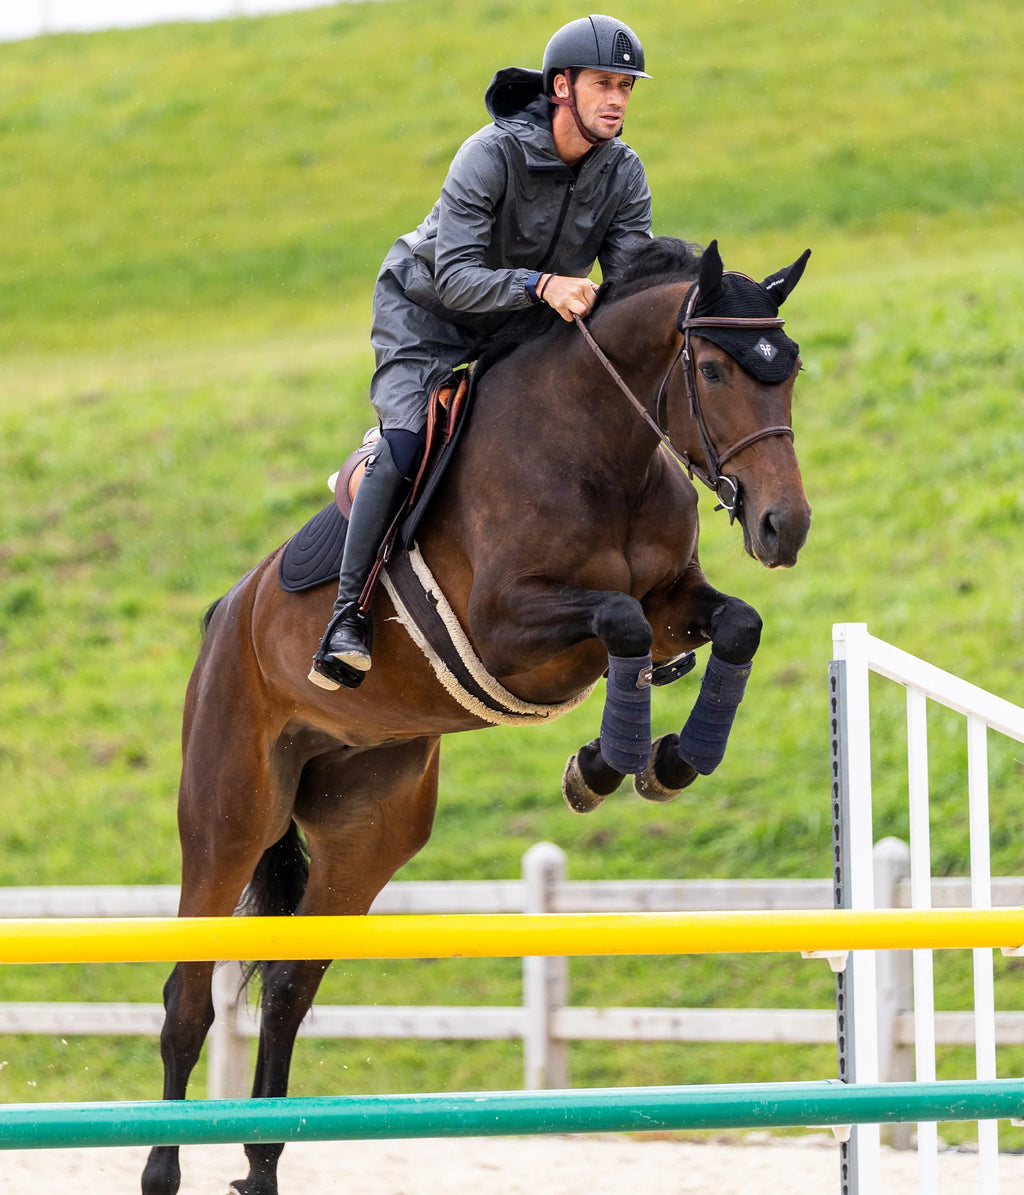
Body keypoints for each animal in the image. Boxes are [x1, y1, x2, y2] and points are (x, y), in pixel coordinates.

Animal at [141, 237, 812, 1195]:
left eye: (788, 367)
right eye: (714, 369)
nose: (783, 526)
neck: (599, 447)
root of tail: (225, 613)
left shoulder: (675, 602)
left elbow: (733, 624)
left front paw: (670, 759)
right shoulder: (510, 625)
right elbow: (620, 620)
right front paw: (603, 764)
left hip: (368, 829)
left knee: (289, 988)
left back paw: (263, 1165)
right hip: (229, 815)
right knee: (188, 998)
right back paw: (162, 1167)